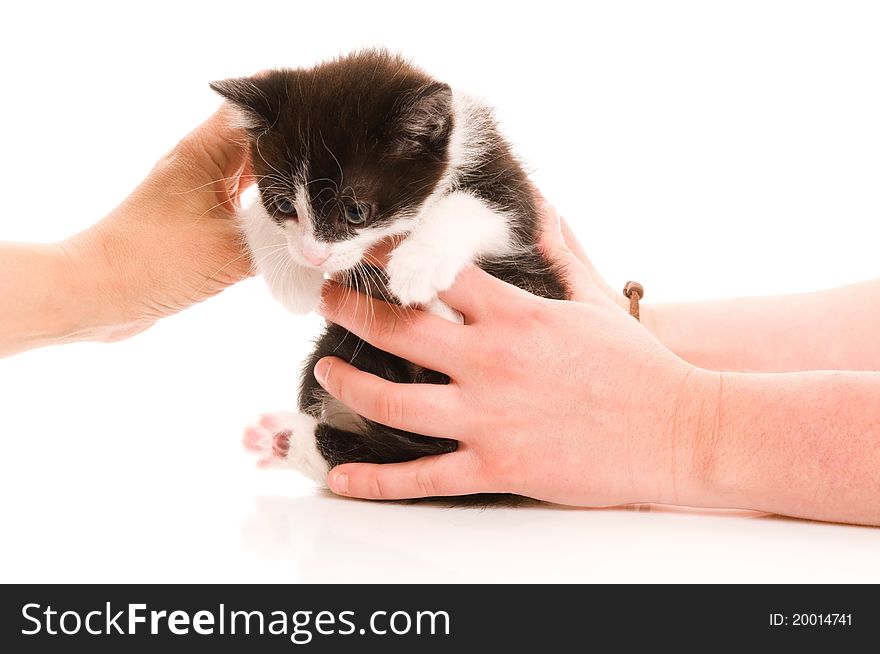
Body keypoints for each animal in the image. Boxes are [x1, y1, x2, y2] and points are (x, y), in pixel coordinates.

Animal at [214, 50, 572, 492]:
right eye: (283, 205)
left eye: (355, 212)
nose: (313, 256)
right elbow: (256, 214)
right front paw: (292, 280)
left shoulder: (515, 197)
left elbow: (475, 205)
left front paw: (415, 267)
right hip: (336, 345)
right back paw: (282, 440)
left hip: (537, 285)